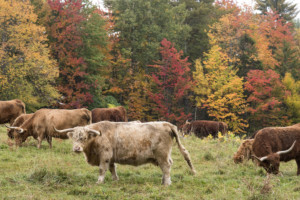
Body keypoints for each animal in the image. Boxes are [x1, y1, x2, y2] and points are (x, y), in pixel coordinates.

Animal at [55, 121, 197, 185]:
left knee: (166, 167)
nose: (76, 148)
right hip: (163, 155)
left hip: (162, 154)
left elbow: (102, 169)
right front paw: (115, 180)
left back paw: (166, 183)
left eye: (84, 138)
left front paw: (99, 181)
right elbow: (112, 169)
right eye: (73, 138)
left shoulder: (105, 156)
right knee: (167, 166)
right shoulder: (111, 158)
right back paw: (163, 181)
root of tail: (166, 124)